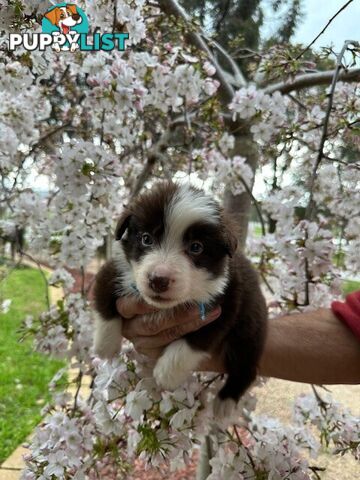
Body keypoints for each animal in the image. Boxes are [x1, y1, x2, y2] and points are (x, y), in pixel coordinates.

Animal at [93, 182, 268, 414]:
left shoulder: (227, 301)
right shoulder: (116, 269)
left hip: (250, 326)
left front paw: (166, 373)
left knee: (246, 364)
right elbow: (104, 299)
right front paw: (105, 346)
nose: (159, 280)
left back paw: (225, 403)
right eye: (146, 239)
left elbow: (196, 340)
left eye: (196, 247)